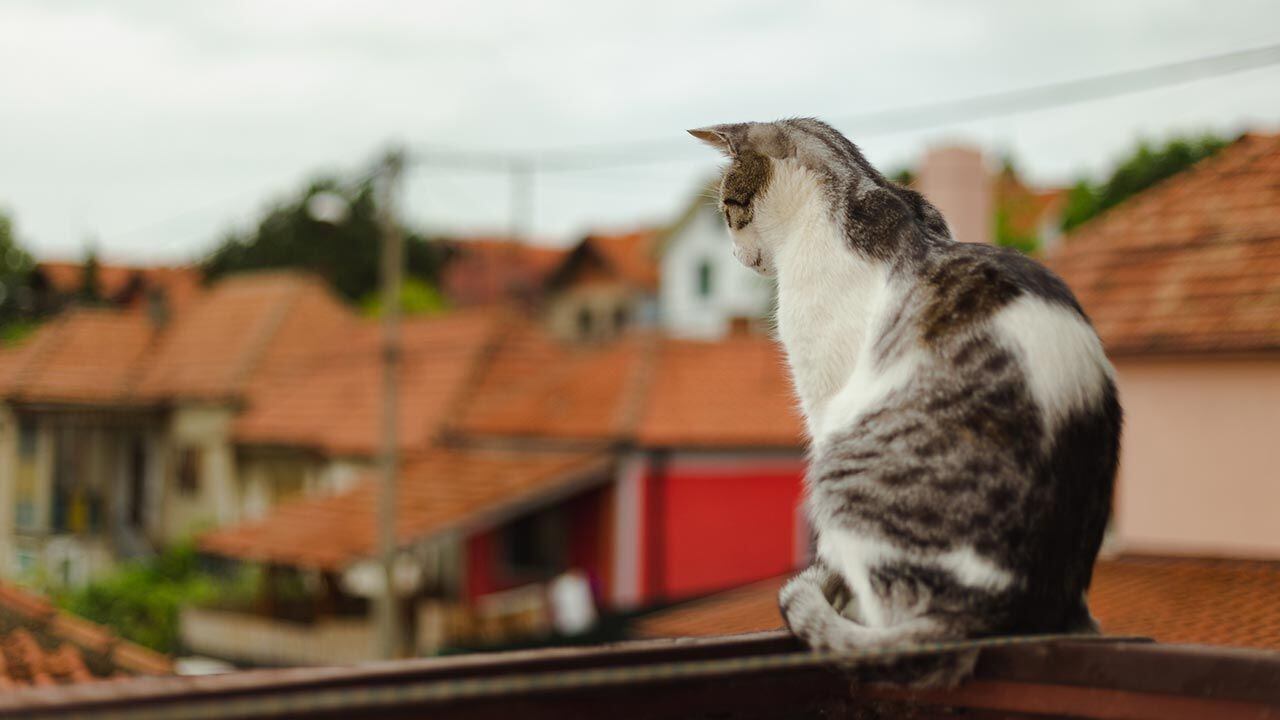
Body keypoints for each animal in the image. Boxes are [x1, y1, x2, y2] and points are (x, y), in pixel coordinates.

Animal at [691, 117, 1121, 681]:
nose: (737, 257)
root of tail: (1020, 600)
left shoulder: (825, 394)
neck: (856, 190)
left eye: (728, 208)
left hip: (842, 459)